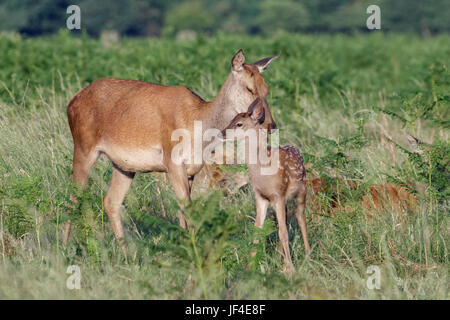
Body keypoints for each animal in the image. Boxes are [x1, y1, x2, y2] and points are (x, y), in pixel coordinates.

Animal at [64, 50, 278, 244]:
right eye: (249, 89)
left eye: (266, 89)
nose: (270, 125)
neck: (198, 125)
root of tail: (71, 103)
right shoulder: (172, 163)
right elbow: (187, 210)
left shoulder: (191, 170)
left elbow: (185, 214)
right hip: (83, 147)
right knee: (73, 198)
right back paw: (65, 246)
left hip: (124, 166)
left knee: (111, 201)